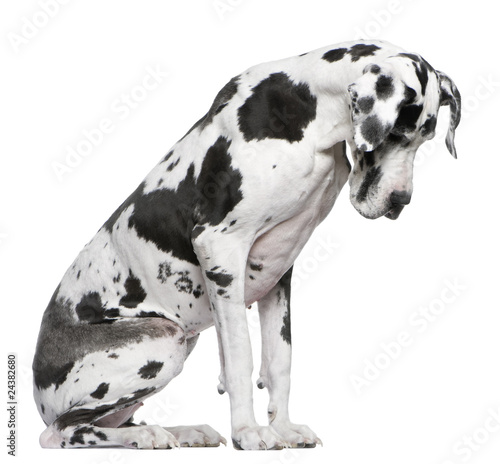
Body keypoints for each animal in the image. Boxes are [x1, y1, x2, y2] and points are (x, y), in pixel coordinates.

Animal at [31, 40, 460, 450]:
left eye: (426, 138)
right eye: (396, 135)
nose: (400, 201)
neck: (313, 113)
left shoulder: (278, 271)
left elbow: (280, 361)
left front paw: (283, 428)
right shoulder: (221, 248)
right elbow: (241, 358)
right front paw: (248, 434)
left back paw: (182, 431)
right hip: (164, 338)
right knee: (62, 431)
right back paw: (146, 436)